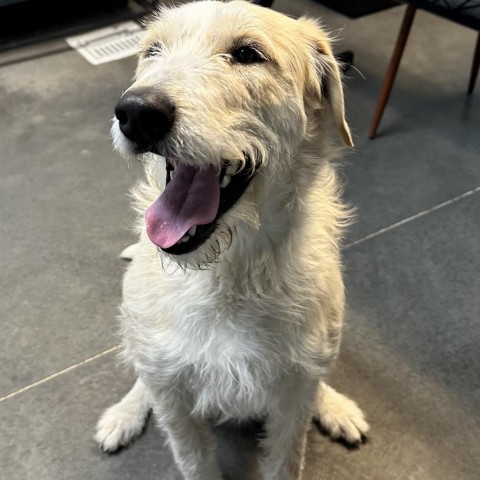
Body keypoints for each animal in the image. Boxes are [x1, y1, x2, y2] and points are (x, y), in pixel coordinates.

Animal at [95, 0, 370, 480]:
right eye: (152, 50)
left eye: (247, 54)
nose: (136, 112)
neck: (230, 272)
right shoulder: (174, 401)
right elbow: (193, 457)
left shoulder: (292, 398)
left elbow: (287, 458)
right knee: (142, 376)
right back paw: (124, 414)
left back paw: (334, 404)